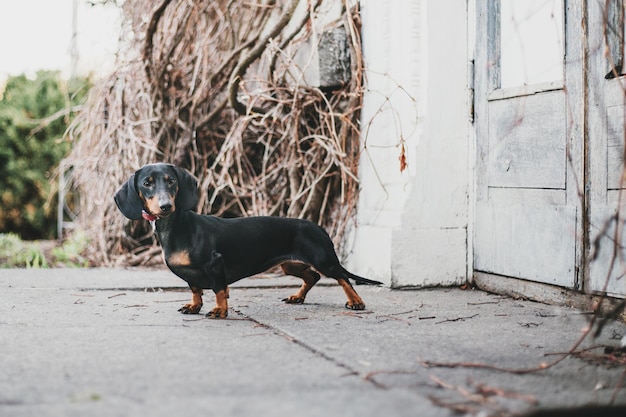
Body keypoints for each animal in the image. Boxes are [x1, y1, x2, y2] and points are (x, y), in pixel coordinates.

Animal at [114, 163, 382, 318]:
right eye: (147, 183)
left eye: (171, 181)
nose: (165, 206)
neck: (175, 227)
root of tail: (318, 227)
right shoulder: (189, 274)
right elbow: (196, 290)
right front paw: (194, 306)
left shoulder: (214, 264)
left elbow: (219, 289)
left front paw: (219, 310)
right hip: (290, 264)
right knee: (312, 276)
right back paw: (297, 297)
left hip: (323, 259)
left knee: (343, 277)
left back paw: (356, 302)